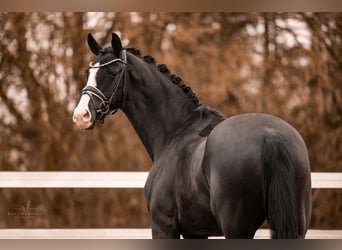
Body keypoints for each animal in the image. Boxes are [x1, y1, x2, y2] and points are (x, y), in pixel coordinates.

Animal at [73, 33, 312, 238]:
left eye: (113, 72)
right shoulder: (195, 232)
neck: (177, 131)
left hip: (236, 230)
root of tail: (270, 135)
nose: (81, 115)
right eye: (88, 73)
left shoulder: (163, 226)